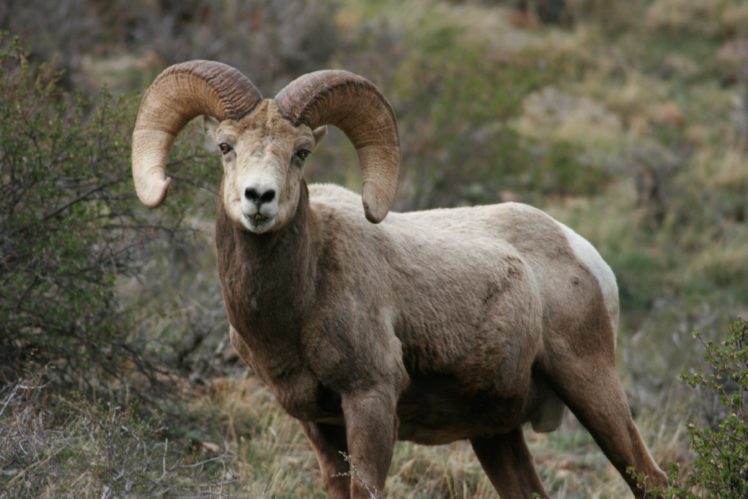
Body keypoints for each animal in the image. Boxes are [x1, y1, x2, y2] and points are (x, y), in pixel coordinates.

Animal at [131, 60, 668, 498]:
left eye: (301, 152)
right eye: (225, 147)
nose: (258, 198)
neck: (299, 302)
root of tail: (583, 253)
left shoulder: (370, 398)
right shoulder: (317, 422)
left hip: (591, 385)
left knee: (652, 479)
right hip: (496, 434)